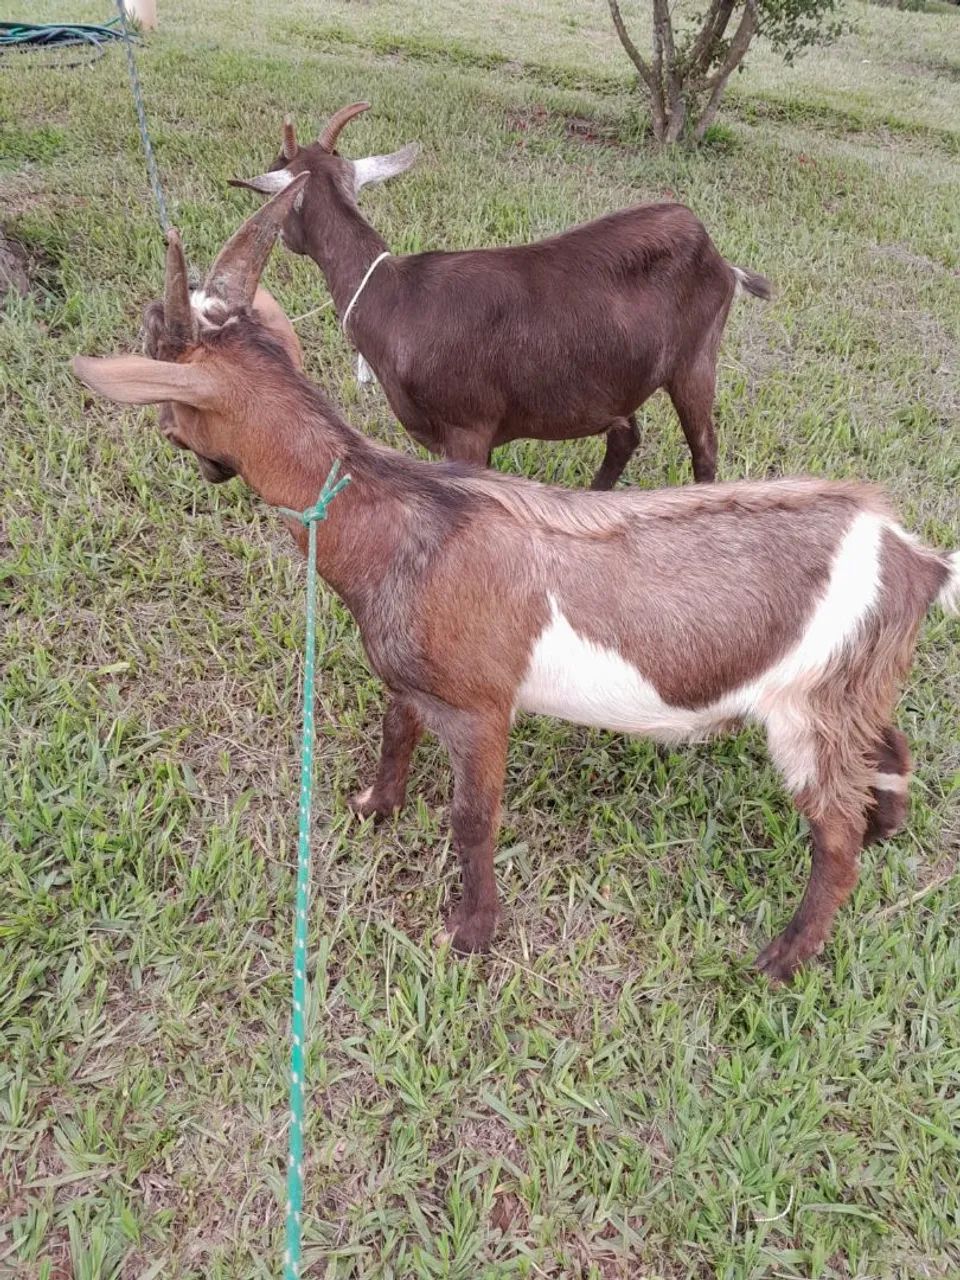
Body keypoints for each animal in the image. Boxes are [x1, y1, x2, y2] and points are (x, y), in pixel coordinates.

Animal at [72, 180, 959, 982]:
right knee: (888, 741)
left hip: (806, 712)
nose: (189, 454)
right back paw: (889, 822)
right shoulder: (412, 678)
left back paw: (785, 956)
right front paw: (372, 808)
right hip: (850, 686)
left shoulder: (480, 708)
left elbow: (473, 820)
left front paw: (470, 934)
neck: (398, 516)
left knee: (833, 839)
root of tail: (913, 558)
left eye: (171, 395)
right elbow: (395, 732)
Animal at [230, 103, 771, 489]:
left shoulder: (467, 430)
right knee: (625, 436)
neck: (395, 298)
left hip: (695, 358)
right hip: (616, 374)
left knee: (704, 450)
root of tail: (720, 259)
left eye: (277, 169)